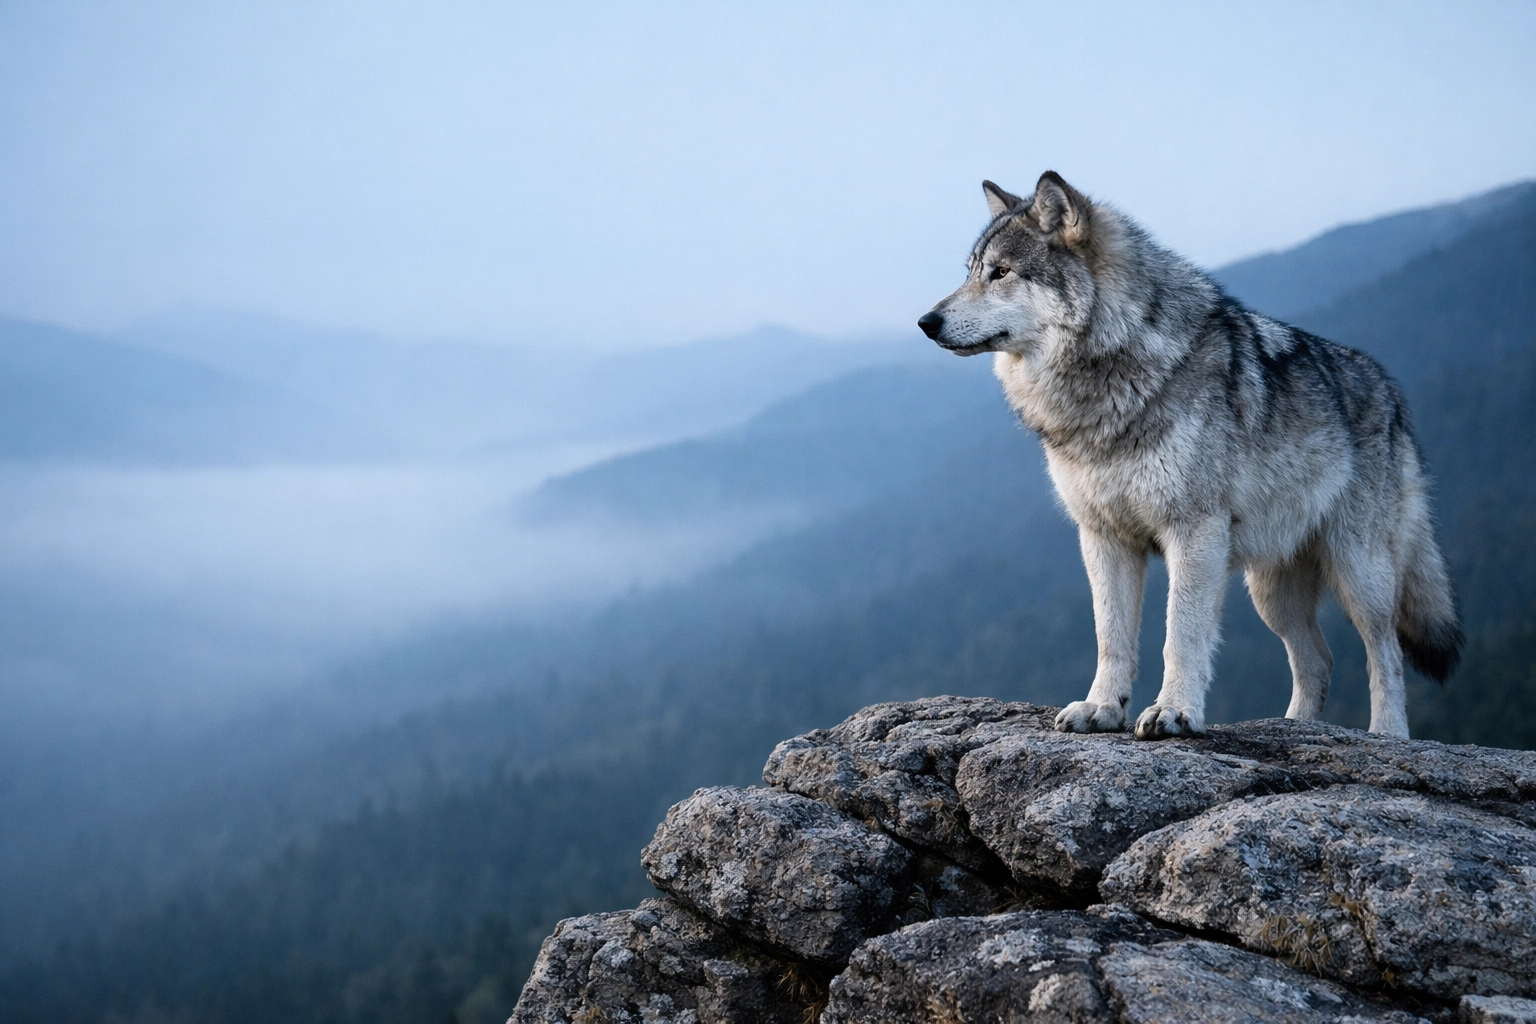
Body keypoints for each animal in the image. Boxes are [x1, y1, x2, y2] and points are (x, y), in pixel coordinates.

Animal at [919, 172, 1462, 739]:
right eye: (971, 272)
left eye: (1000, 272)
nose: (926, 321)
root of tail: (1391, 391)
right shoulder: (1103, 537)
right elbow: (1110, 637)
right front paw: (1101, 708)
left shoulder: (1194, 532)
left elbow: (1180, 633)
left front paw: (1174, 712)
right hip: (1270, 592)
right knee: (1319, 659)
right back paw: (1292, 727)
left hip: (1359, 572)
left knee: (1385, 651)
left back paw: (1388, 733)